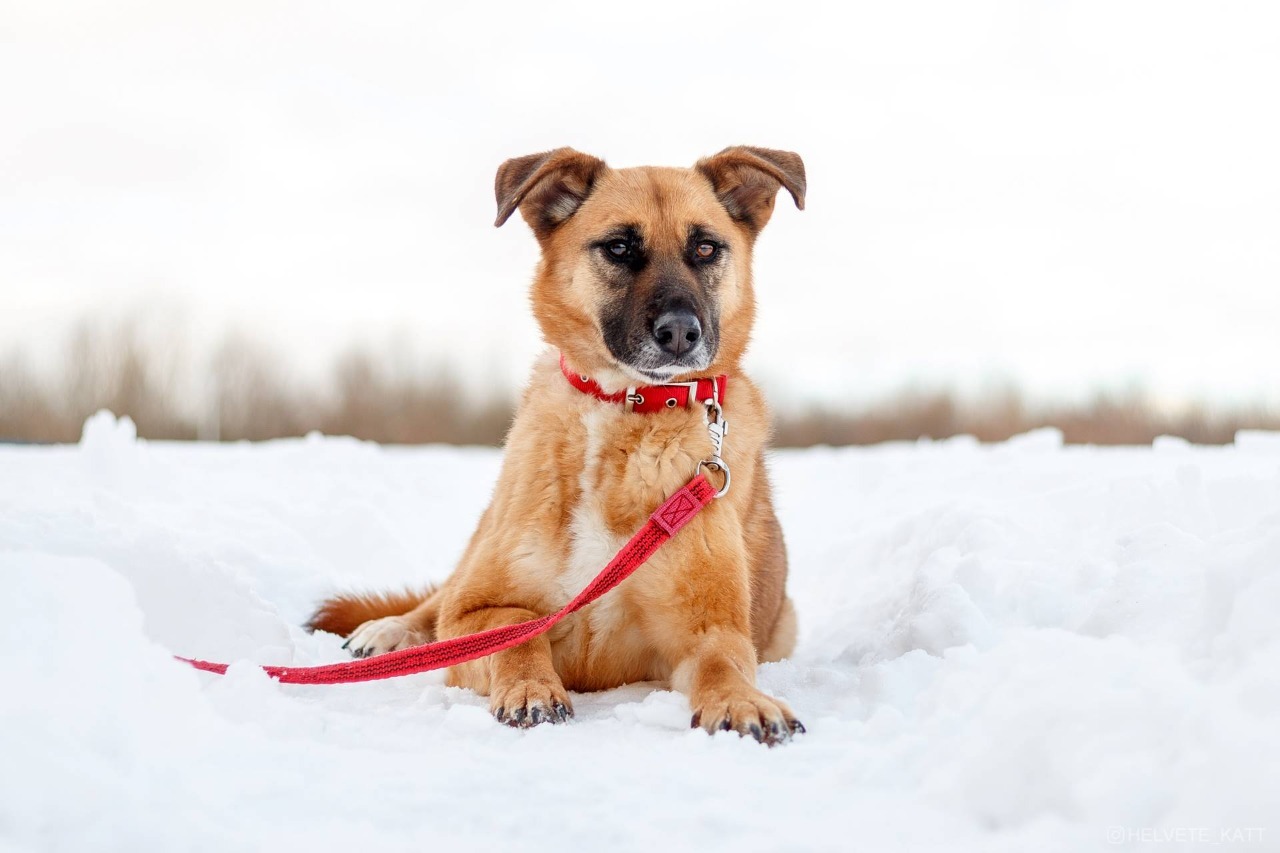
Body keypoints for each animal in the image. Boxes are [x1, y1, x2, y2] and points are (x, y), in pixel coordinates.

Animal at [305, 146, 803, 742]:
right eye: (618, 247)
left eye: (705, 248)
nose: (682, 333)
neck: (622, 410)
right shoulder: (478, 610)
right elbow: (516, 632)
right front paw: (531, 689)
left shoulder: (709, 629)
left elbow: (722, 663)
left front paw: (743, 702)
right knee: (434, 602)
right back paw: (388, 631)